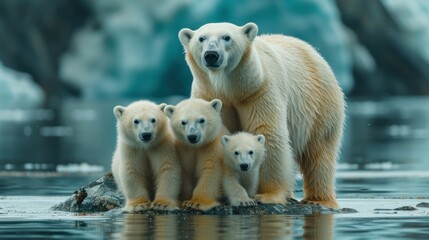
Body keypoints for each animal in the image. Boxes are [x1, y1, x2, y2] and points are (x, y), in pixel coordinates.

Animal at [178, 22, 344, 208]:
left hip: (320, 106)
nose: (211, 55)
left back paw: (318, 199)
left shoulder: (258, 91)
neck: (231, 89)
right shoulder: (209, 94)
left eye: (227, 37)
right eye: (201, 38)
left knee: (319, 152)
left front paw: (268, 195)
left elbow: (268, 133)